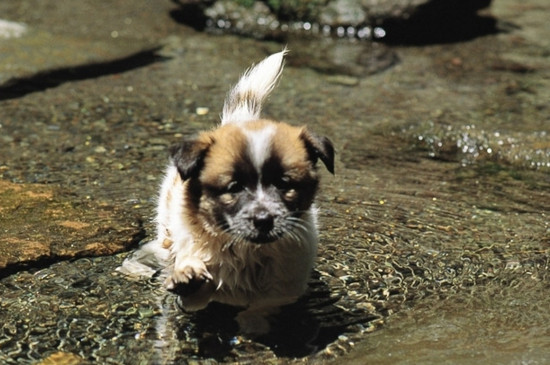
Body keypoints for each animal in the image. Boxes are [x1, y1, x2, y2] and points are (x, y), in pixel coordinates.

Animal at [120, 49, 334, 334]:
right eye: (234, 187)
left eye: (284, 185)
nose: (263, 220)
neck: (245, 250)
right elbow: (194, 289)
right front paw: (188, 278)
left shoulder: (284, 288)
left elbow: (263, 306)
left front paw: (251, 323)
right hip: (167, 230)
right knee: (156, 250)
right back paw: (136, 267)